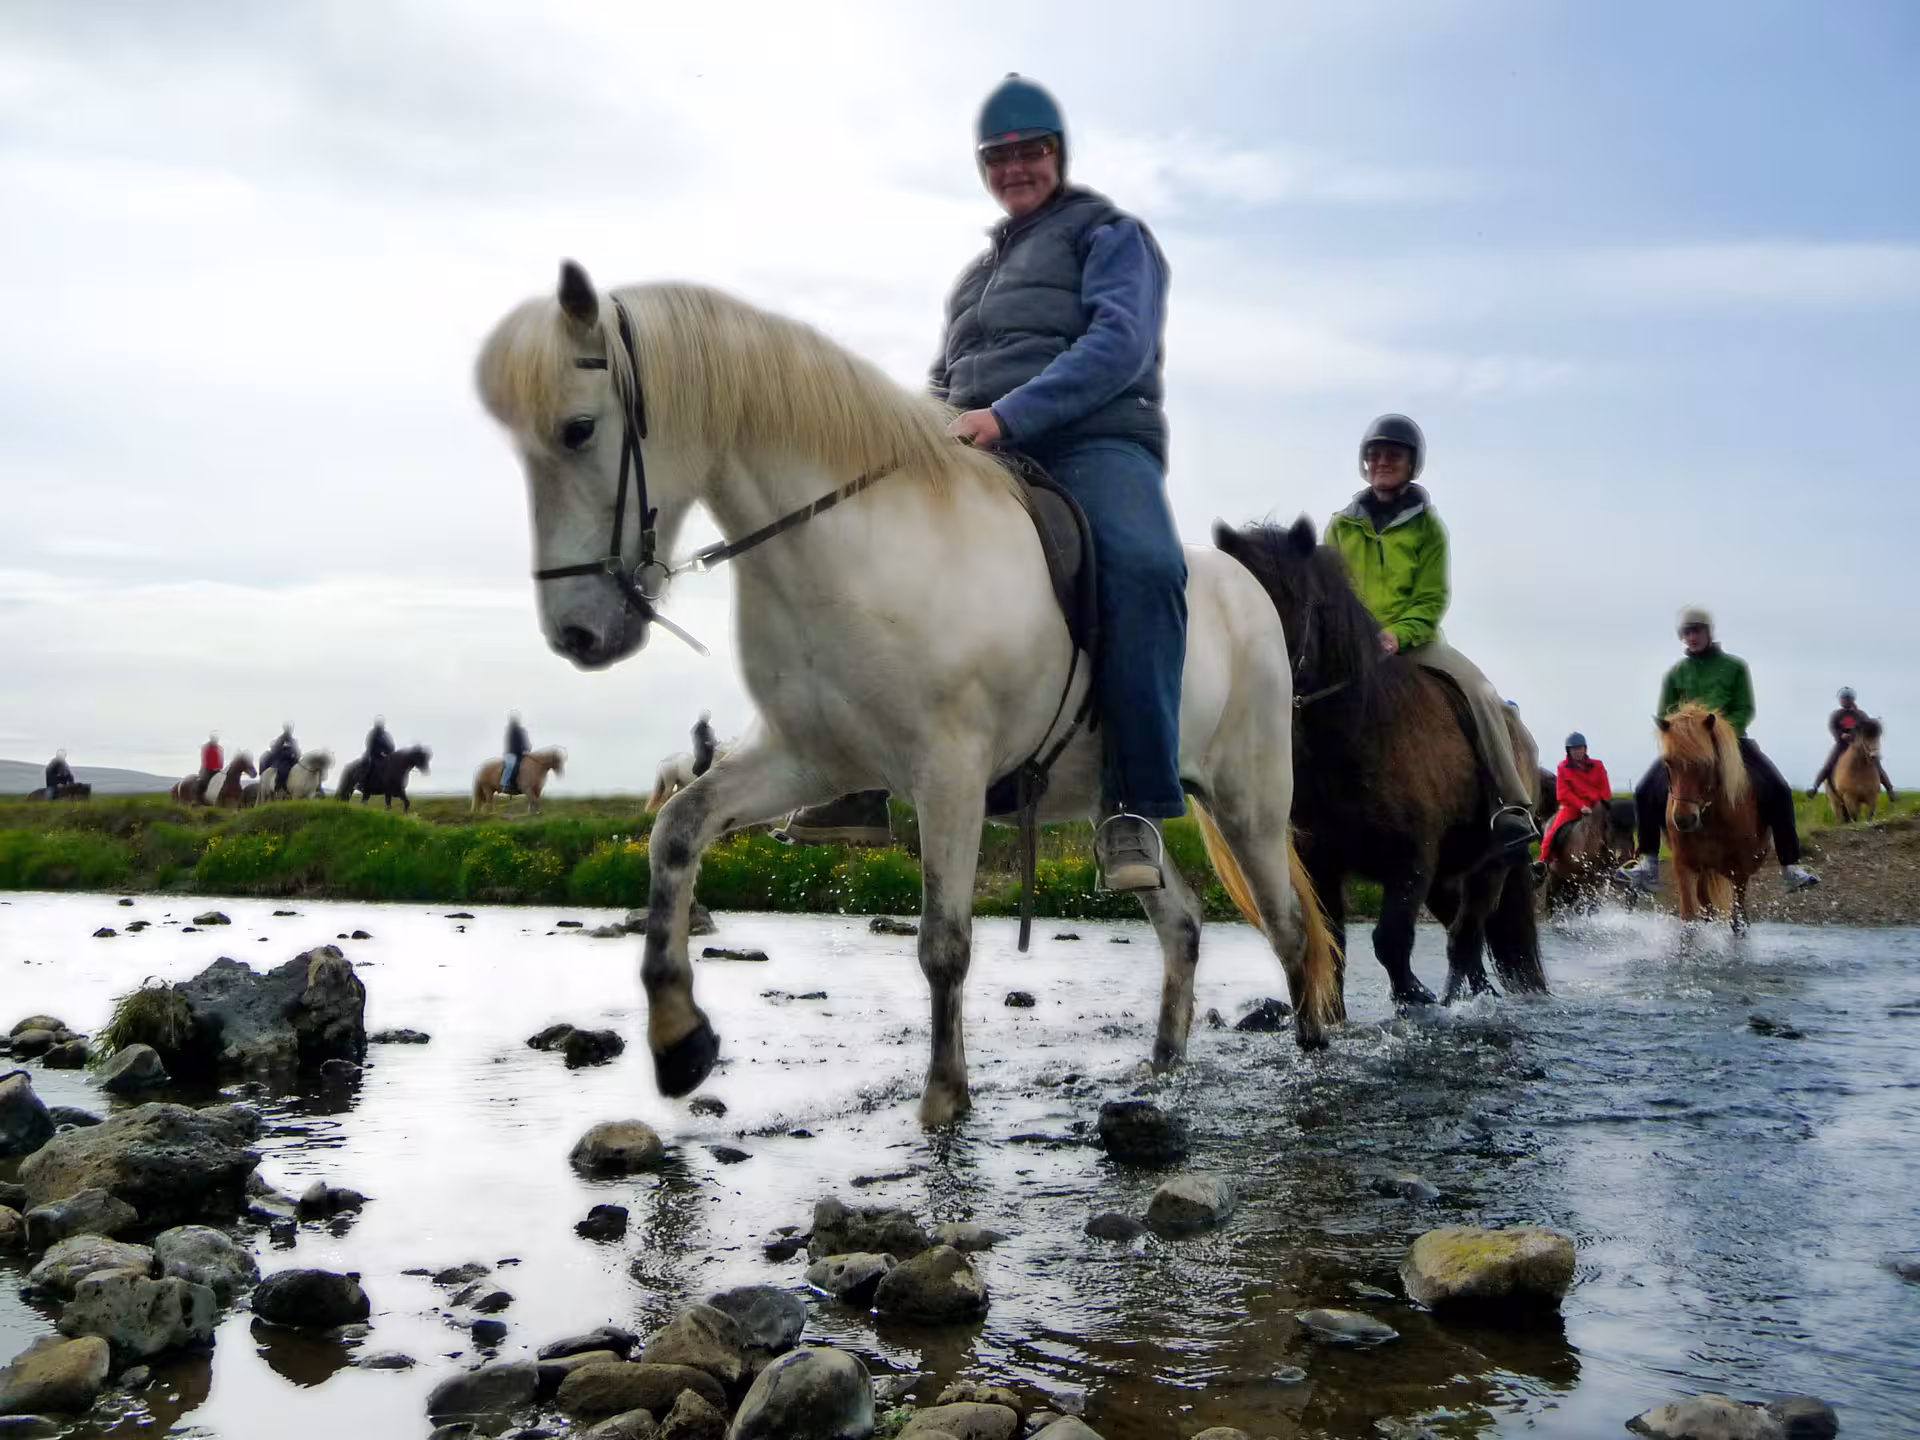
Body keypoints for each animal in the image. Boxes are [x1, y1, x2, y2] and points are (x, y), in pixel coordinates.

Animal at [476, 265, 1342, 1126]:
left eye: (579, 429)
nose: (577, 635)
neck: (850, 545)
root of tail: (1249, 592)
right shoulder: (803, 758)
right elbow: (676, 831)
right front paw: (679, 1040)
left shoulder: (950, 773)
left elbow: (943, 943)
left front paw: (944, 1098)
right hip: (1119, 804)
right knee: (1183, 925)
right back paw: (1161, 1069)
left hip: (1250, 804)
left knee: (1292, 933)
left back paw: (1310, 1066)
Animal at [1211, 517, 1548, 1005]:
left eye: (1295, 600)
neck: (1358, 737)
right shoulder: (1322, 867)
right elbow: (1333, 948)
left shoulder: (1413, 861)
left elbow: (1390, 941)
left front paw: (1416, 999)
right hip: (1448, 878)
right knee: (1467, 940)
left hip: (1489, 867)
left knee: (1465, 937)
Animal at [1656, 702, 1766, 929]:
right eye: (1668, 762)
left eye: (1706, 762)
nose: (1684, 820)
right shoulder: (1684, 865)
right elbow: (1689, 916)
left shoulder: (1740, 871)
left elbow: (1738, 921)